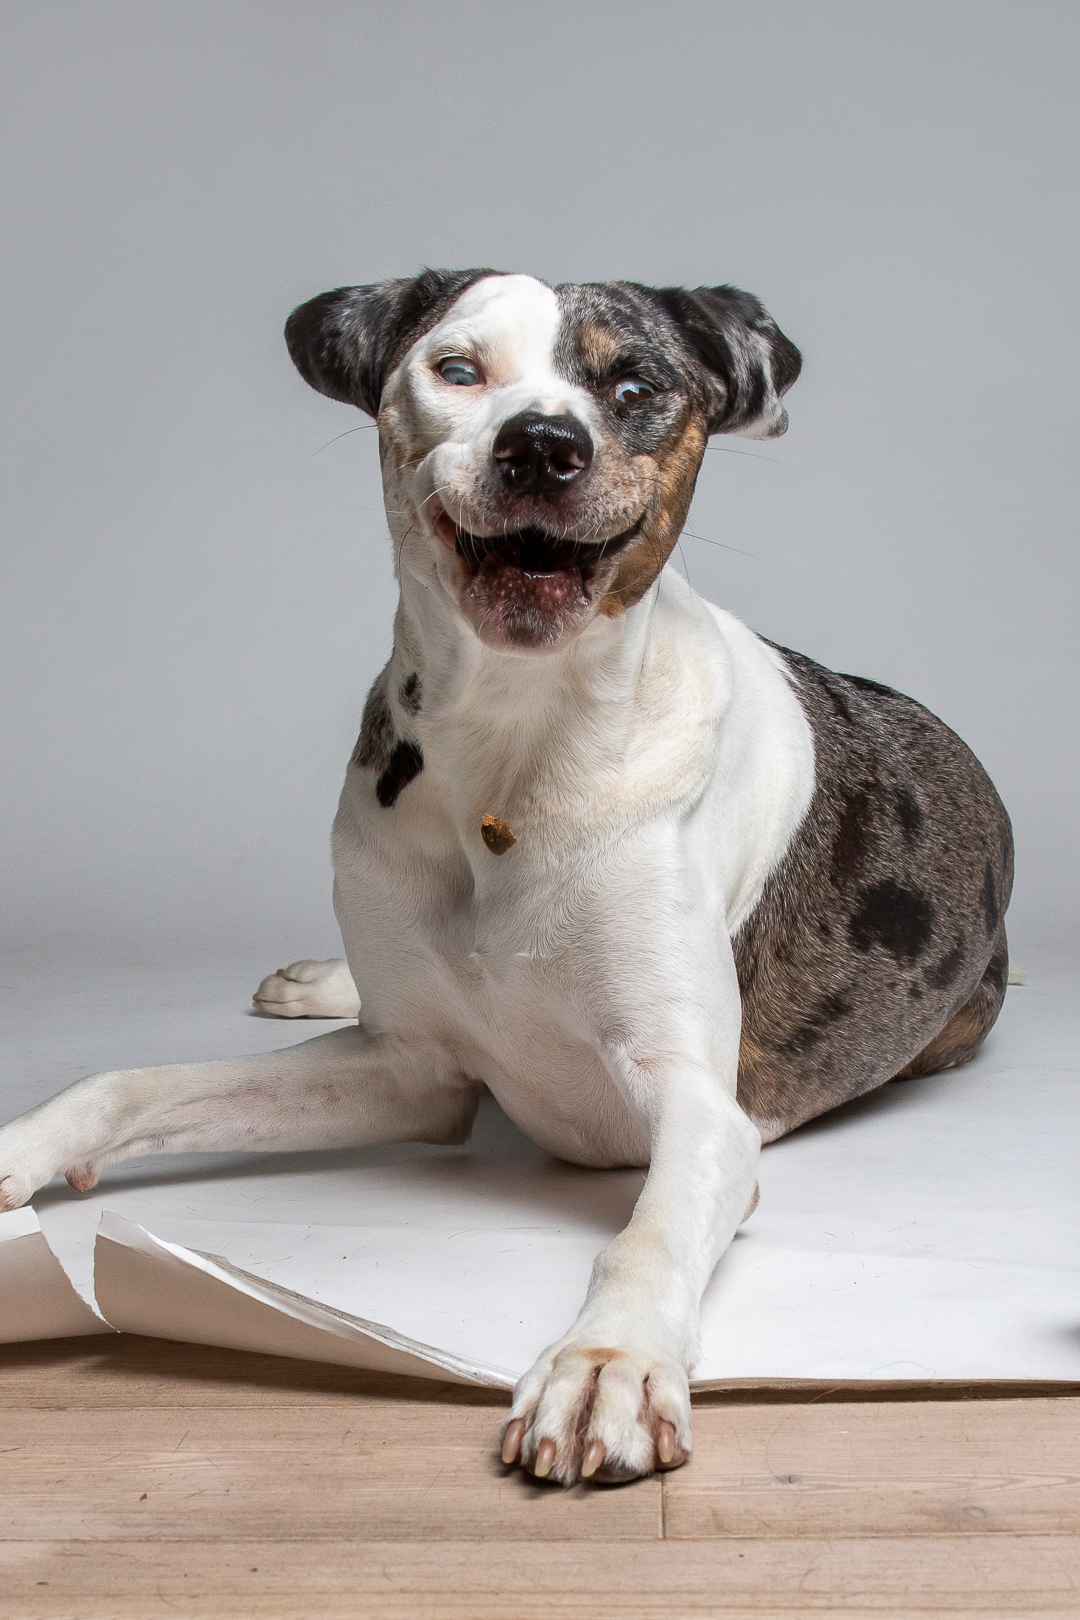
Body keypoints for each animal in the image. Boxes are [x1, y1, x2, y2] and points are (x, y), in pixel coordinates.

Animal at [0, 272, 1016, 1483]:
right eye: (458, 369)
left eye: (633, 386)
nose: (542, 445)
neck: (517, 753)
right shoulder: (412, 1071)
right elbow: (129, 1087)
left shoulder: (696, 1108)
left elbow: (647, 1235)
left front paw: (607, 1363)